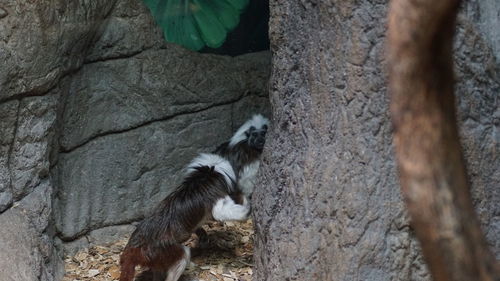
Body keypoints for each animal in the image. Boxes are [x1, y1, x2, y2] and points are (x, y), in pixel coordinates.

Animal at [117, 153, 250, 280]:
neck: (203, 177)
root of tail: (132, 248)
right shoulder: (214, 195)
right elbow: (221, 212)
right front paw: (248, 207)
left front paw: (202, 235)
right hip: (160, 251)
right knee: (183, 255)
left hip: (153, 256)